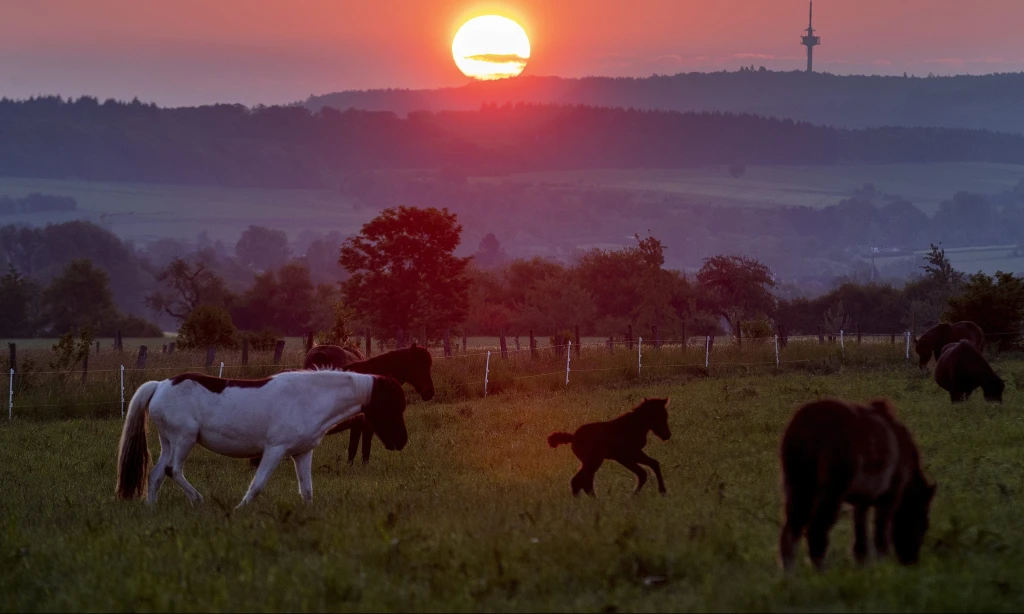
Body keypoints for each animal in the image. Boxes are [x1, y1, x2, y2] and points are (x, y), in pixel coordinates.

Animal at [116, 368, 407, 507]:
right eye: (391, 406)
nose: (402, 442)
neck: (309, 397)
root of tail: (160, 385)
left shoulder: (302, 452)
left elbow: (307, 490)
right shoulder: (275, 449)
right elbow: (257, 485)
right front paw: (239, 510)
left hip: (168, 442)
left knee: (155, 475)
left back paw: (152, 508)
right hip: (184, 439)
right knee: (172, 470)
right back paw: (197, 500)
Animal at [774, 399, 937, 568]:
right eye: (923, 524)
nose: (911, 561)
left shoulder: (862, 501)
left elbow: (861, 537)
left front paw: (863, 564)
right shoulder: (890, 497)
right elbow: (880, 533)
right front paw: (883, 565)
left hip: (799, 487)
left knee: (791, 532)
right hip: (831, 493)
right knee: (816, 531)